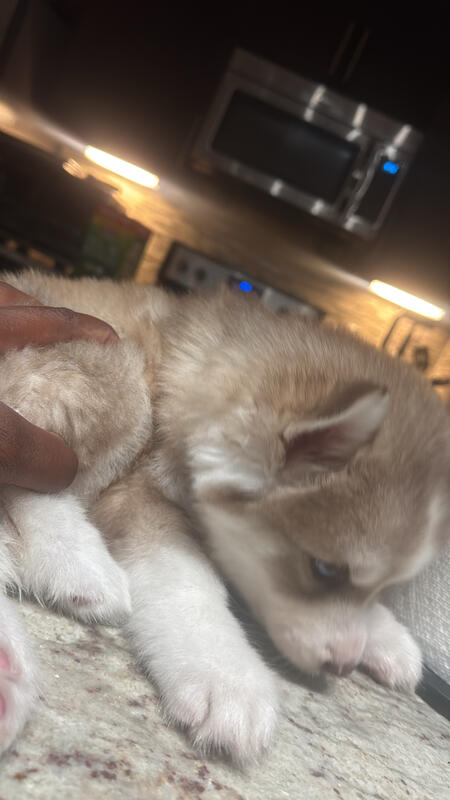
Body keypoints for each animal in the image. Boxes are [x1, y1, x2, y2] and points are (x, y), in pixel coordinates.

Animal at [0, 269, 448, 764]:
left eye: (386, 585)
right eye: (326, 569)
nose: (344, 665)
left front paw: (383, 632)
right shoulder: (140, 491)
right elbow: (188, 579)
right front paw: (227, 674)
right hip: (110, 375)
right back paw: (77, 567)